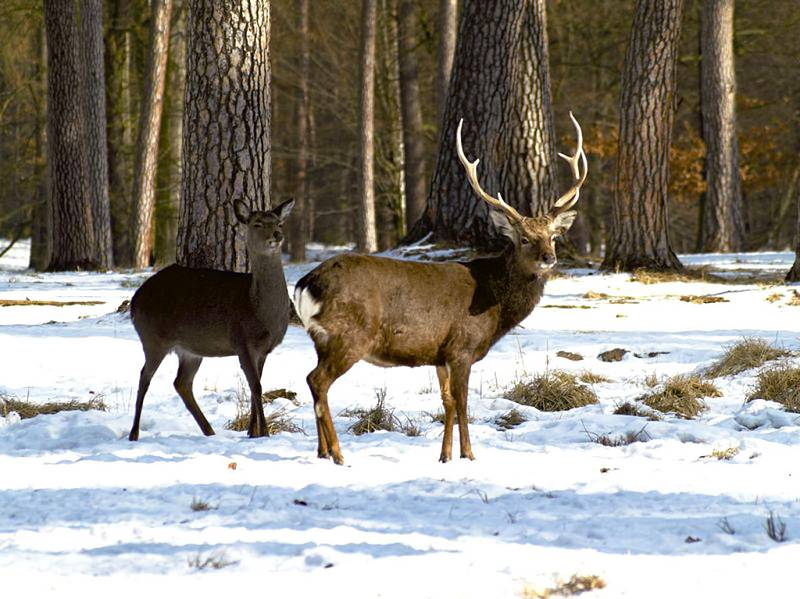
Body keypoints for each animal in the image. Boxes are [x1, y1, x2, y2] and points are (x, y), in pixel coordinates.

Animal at [127, 199, 294, 442]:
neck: (260, 310)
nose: (278, 235)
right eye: (257, 223)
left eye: (279, 222)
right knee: (144, 377)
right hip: (153, 338)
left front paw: (252, 432)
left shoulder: (264, 349)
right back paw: (134, 433)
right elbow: (256, 386)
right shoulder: (241, 341)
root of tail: (134, 301)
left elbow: (257, 385)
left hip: (190, 350)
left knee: (181, 382)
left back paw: (209, 431)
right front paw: (263, 433)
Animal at [294, 115, 588, 466]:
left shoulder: (438, 354)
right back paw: (338, 454)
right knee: (317, 380)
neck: (496, 306)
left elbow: (446, 401)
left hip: (321, 339)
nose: (549, 258)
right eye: (525, 238)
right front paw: (469, 454)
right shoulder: (462, 347)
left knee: (314, 382)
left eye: (553, 236)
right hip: (349, 334)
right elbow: (462, 402)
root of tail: (306, 284)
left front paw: (445, 456)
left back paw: (322, 452)